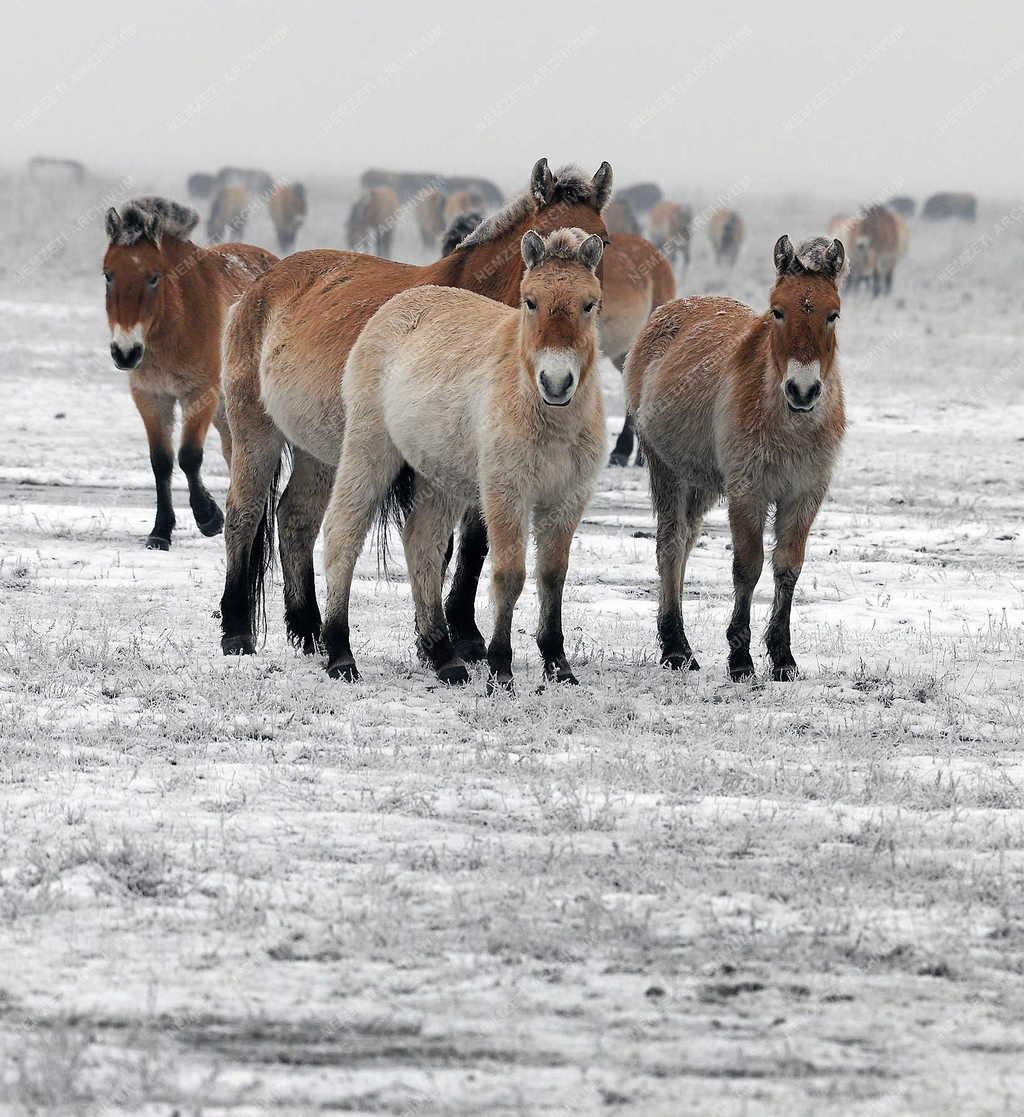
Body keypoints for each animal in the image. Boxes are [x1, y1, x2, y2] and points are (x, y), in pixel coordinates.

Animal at [102, 201, 278, 554]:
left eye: (153, 277)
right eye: (108, 275)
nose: (125, 352)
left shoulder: (199, 393)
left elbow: (189, 456)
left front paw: (208, 517)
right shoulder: (150, 397)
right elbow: (161, 461)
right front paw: (160, 532)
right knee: (235, 453)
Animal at [217, 160, 607, 656]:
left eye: (603, 239)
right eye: (541, 234)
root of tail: (260, 285)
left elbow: (473, 546)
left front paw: (462, 632)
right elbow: (440, 547)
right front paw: (438, 639)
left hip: (319, 452)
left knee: (295, 520)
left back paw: (308, 629)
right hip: (256, 432)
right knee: (243, 516)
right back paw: (236, 629)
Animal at [625, 235, 844, 679]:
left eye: (833, 314)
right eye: (777, 310)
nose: (802, 390)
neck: (788, 425)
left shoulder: (805, 495)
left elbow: (788, 568)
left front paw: (783, 658)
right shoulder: (748, 493)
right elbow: (748, 566)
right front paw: (740, 659)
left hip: (701, 483)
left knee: (686, 543)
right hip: (667, 470)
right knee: (670, 545)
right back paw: (675, 648)